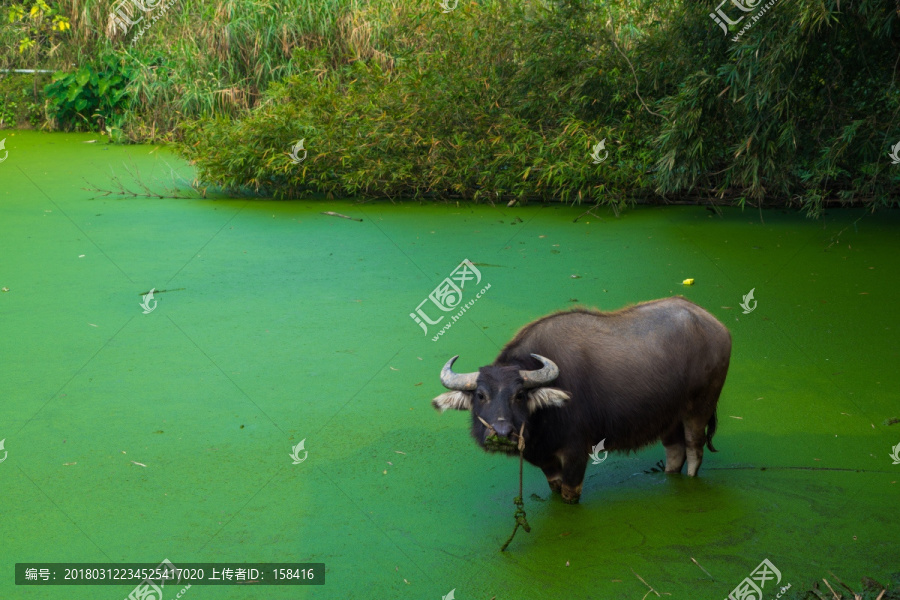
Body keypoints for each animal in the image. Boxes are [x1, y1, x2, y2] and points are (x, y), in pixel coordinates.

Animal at [428, 298, 732, 504]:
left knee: (694, 449)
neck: (543, 420)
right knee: (675, 450)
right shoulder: (546, 460)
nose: (501, 433)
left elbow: (569, 494)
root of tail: (717, 327)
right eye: (481, 395)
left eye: (520, 394)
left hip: (700, 408)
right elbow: (555, 487)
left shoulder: (576, 452)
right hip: (668, 417)